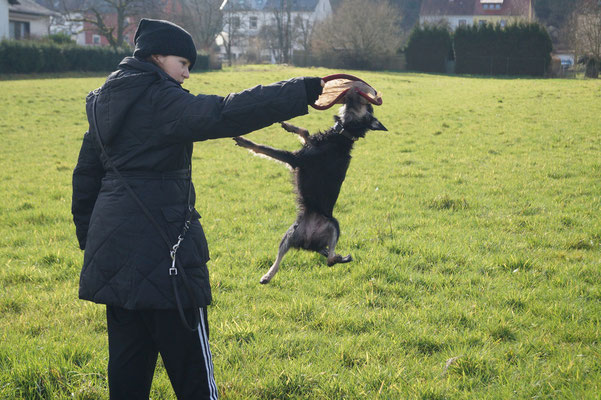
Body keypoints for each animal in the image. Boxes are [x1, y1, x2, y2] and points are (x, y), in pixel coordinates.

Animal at [232, 90, 386, 284]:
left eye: (366, 105)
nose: (352, 92)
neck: (342, 134)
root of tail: (310, 242)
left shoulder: (295, 159)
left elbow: (265, 149)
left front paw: (245, 141)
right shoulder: (307, 146)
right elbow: (305, 132)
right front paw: (289, 126)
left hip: (332, 224)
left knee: (329, 259)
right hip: (290, 234)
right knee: (293, 255)